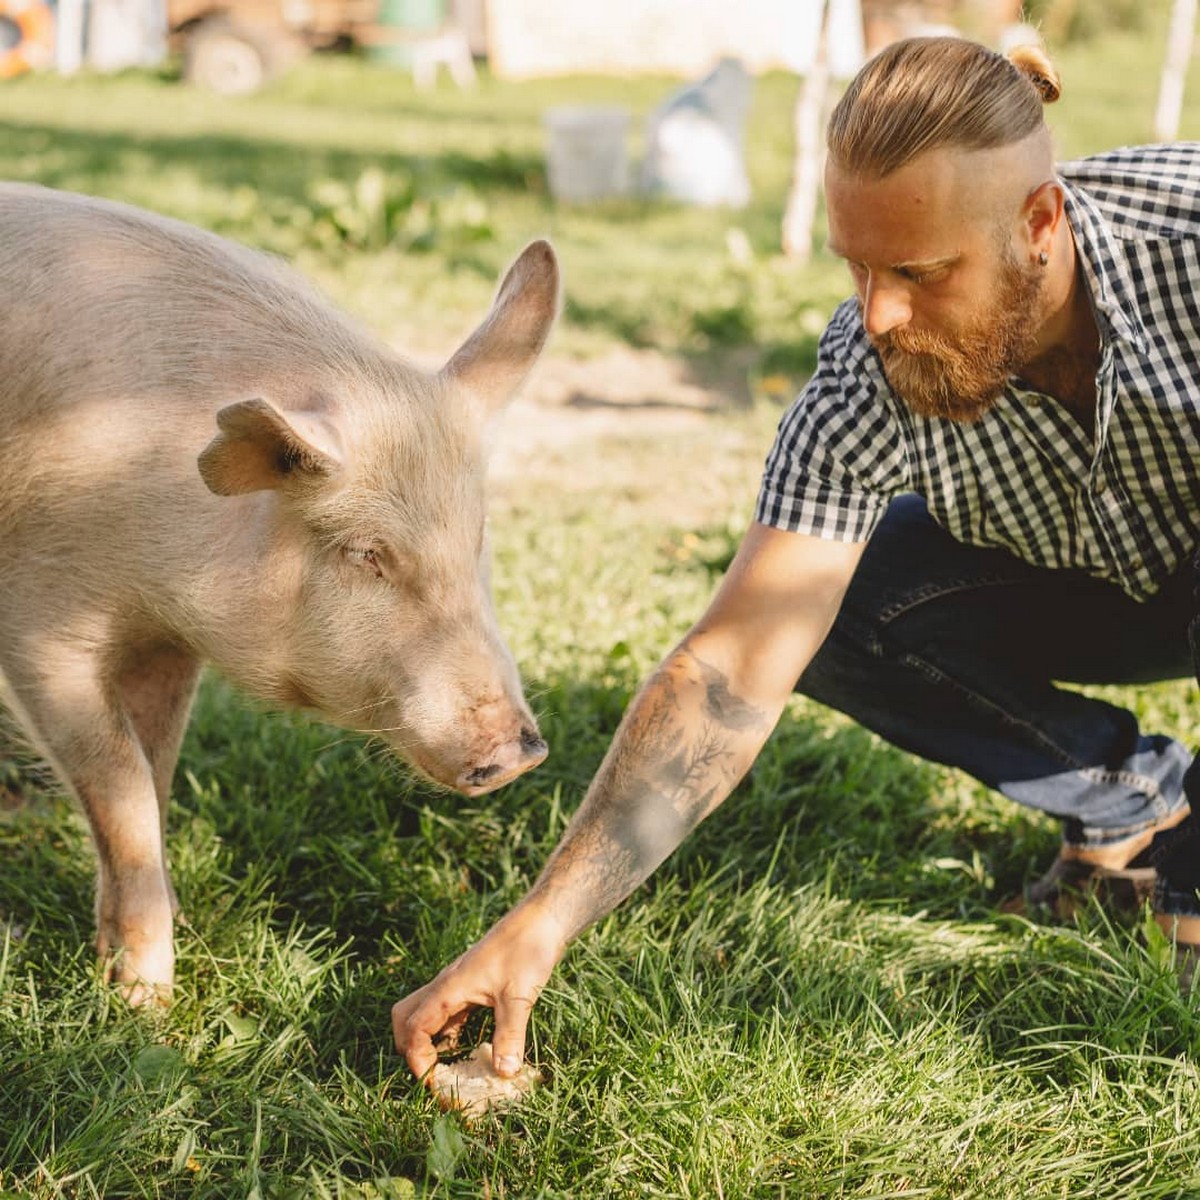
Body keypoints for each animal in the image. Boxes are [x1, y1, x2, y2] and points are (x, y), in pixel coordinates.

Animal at [0, 182, 559, 998]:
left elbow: (156, 768)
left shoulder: (164, 641)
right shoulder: (35, 619)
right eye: (367, 554)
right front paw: (144, 999)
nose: (520, 751)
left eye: (478, 534)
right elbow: (121, 783)